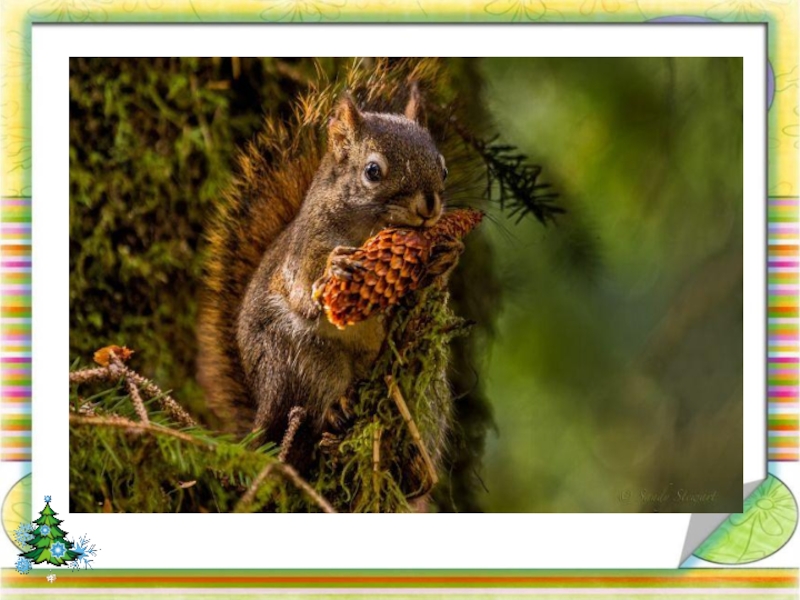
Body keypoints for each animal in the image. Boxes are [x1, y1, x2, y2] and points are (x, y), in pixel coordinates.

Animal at [197, 81, 460, 474]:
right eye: (373, 171)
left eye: (442, 169)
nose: (429, 206)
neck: (368, 231)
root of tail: (261, 411)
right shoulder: (303, 248)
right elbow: (304, 280)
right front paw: (335, 267)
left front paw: (446, 256)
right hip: (299, 359)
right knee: (313, 403)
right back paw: (335, 408)